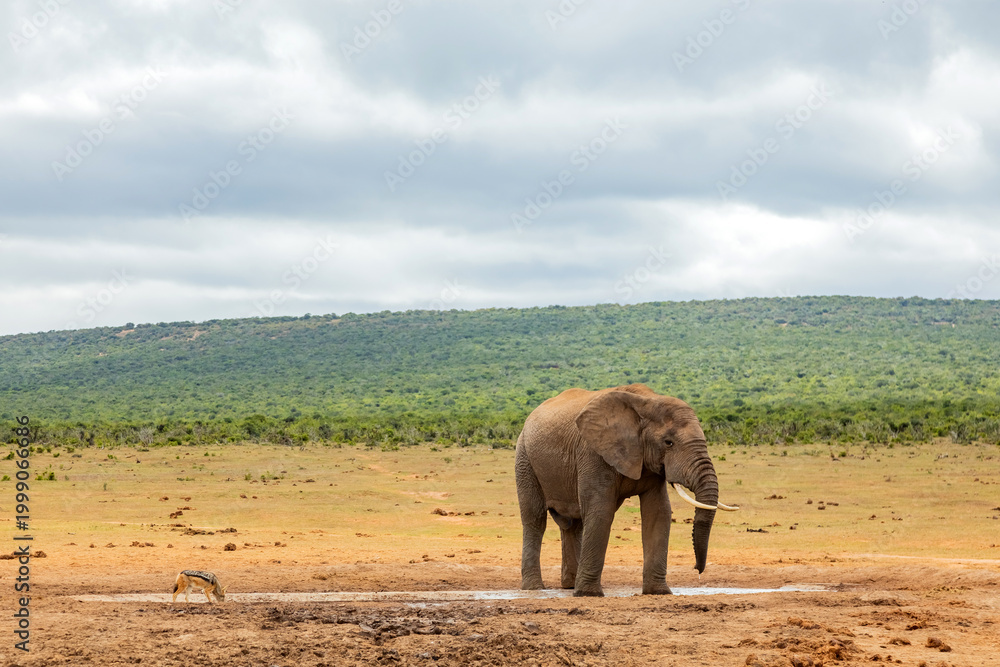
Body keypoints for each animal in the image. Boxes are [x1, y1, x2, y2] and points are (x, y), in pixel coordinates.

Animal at [515, 384, 737, 597]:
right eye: (668, 442)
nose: (697, 570)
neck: (646, 401)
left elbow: (658, 512)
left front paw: (659, 592)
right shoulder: (593, 452)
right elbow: (600, 512)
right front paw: (588, 594)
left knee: (572, 525)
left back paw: (570, 586)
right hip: (524, 457)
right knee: (535, 520)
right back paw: (535, 588)